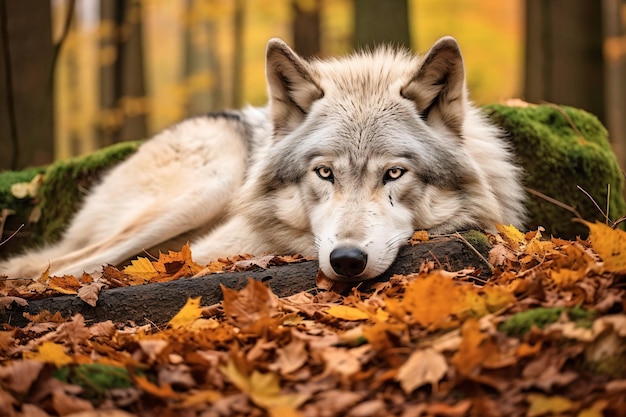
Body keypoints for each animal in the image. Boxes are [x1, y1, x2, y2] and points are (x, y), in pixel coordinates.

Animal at [0, 37, 528, 282]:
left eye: (394, 173)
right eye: (324, 173)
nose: (346, 260)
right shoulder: (212, 246)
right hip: (205, 187)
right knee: (60, 265)